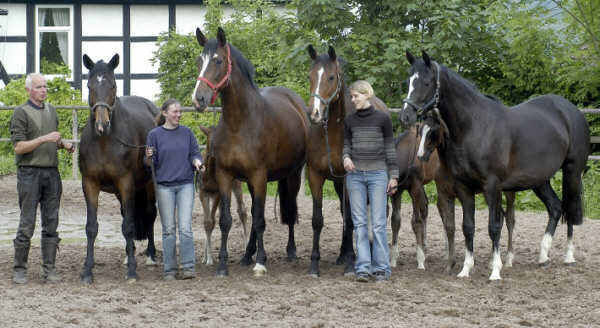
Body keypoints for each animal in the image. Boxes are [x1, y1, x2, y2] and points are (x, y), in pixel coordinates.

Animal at [79, 53, 159, 282]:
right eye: (89, 86)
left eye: (113, 85)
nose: (102, 124)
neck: (105, 142)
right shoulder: (90, 184)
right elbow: (91, 227)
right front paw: (87, 270)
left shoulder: (126, 183)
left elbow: (129, 226)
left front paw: (132, 271)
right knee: (126, 214)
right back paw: (127, 254)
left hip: (148, 184)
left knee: (150, 213)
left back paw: (150, 255)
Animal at [197, 124, 248, 266]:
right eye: (209, 141)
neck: (208, 175)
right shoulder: (203, 193)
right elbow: (207, 221)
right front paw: (206, 258)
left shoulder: (217, 193)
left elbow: (212, 221)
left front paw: (210, 259)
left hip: (236, 185)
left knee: (242, 211)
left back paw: (246, 249)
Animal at [308, 45, 392, 276]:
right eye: (310, 76)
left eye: (330, 77)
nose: (314, 114)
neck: (332, 134)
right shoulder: (314, 176)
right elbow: (318, 220)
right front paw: (314, 264)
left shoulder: (349, 178)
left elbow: (352, 219)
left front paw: (351, 263)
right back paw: (342, 254)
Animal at [400, 50, 588, 280]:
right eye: (408, 80)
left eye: (426, 82)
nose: (405, 115)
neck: (475, 126)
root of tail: (571, 111)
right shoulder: (464, 188)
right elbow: (468, 227)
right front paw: (465, 269)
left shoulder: (492, 186)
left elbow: (494, 227)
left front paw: (495, 270)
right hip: (540, 180)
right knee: (555, 207)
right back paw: (543, 256)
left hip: (572, 172)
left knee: (570, 208)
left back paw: (568, 256)